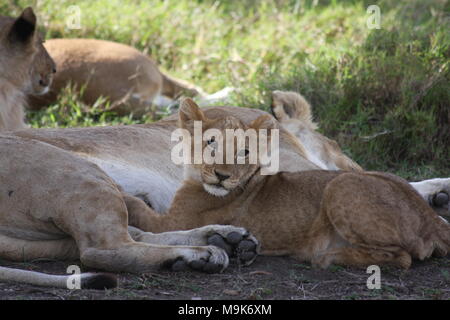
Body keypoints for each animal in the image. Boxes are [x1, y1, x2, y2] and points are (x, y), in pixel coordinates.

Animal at [124, 99, 450, 268]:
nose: (222, 175)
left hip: (339, 185)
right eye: (210, 144)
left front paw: (129, 197)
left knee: (403, 254)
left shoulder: (173, 220)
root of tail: (432, 223)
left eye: (244, 152)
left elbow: (140, 210)